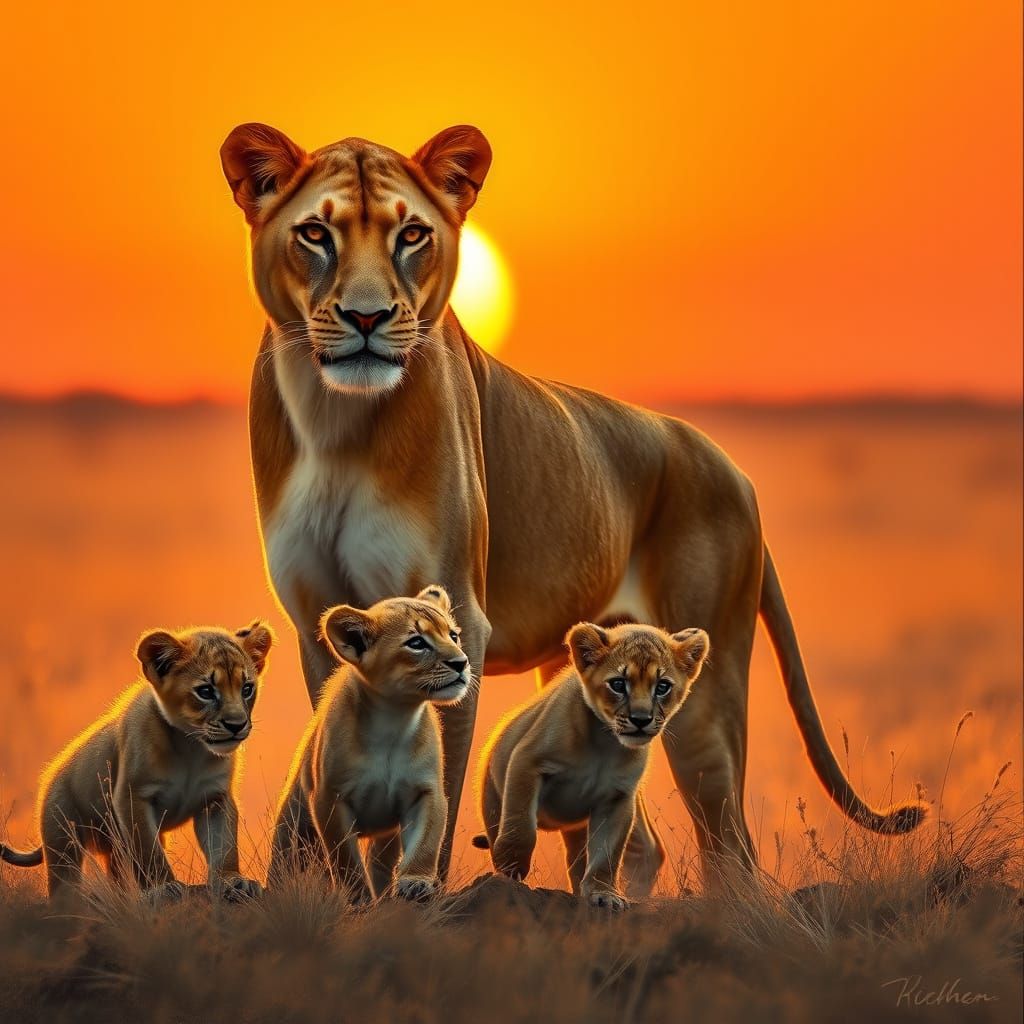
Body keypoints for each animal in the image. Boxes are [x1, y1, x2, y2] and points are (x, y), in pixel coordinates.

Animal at [0, 622, 274, 900]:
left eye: (247, 688)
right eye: (205, 691)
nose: (236, 725)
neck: (191, 748)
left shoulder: (216, 798)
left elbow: (224, 846)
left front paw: (233, 882)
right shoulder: (132, 796)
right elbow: (148, 851)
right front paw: (162, 887)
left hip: (114, 847)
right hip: (62, 834)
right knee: (64, 880)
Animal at [267, 586, 469, 902]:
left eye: (453, 636)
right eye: (416, 643)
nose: (461, 663)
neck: (394, 718)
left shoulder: (427, 791)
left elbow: (426, 842)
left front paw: (416, 882)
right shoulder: (330, 798)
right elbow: (346, 861)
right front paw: (359, 898)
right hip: (293, 826)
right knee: (284, 862)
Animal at [474, 622, 709, 908]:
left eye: (662, 686)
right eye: (618, 684)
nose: (641, 719)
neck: (604, 744)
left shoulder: (618, 797)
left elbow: (606, 853)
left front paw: (604, 895)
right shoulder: (526, 762)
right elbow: (521, 827)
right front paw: (510, 874)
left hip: (576, 829)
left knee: (577, 861)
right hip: (492, 800)